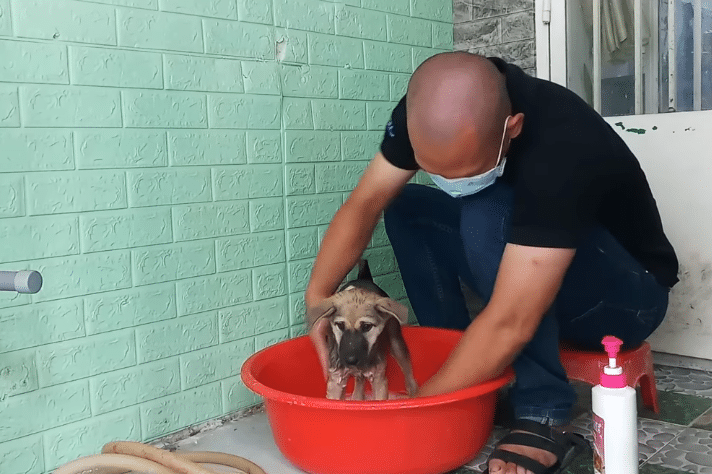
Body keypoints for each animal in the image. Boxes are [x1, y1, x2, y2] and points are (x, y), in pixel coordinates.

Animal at [307, 260, 418, 400]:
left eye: (366, 326)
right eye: (340, 325)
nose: (350, 360)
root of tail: (364, 278)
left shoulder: (379, 379)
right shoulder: (336, 380)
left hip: (396, 343)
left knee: (409, 376)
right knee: (359, 385)